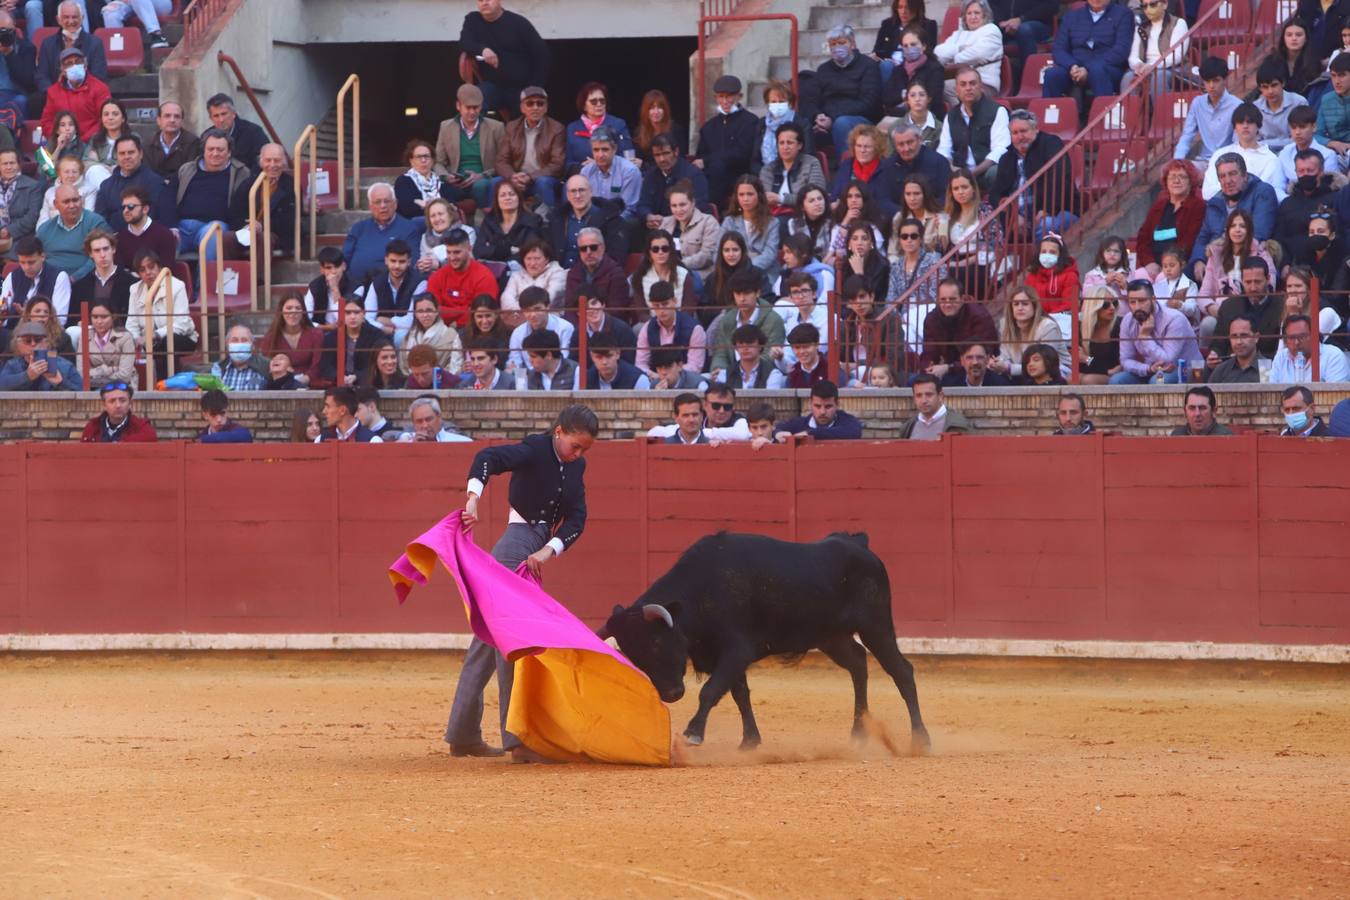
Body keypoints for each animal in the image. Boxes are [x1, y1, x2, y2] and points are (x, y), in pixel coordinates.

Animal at [602, 534, 928, 755]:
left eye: (657, 642)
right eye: (635, 656)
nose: (672, 694)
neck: (702, 590)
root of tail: (859, 543)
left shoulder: (736, 650)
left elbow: (712, 690)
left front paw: (694, 733)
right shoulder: (728, 656)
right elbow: (739, 694)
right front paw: (750, 741)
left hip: (876, 626)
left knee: (902, 671)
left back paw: (920, 739)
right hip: (831, 637)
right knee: (859, 663)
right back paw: (859, 734)